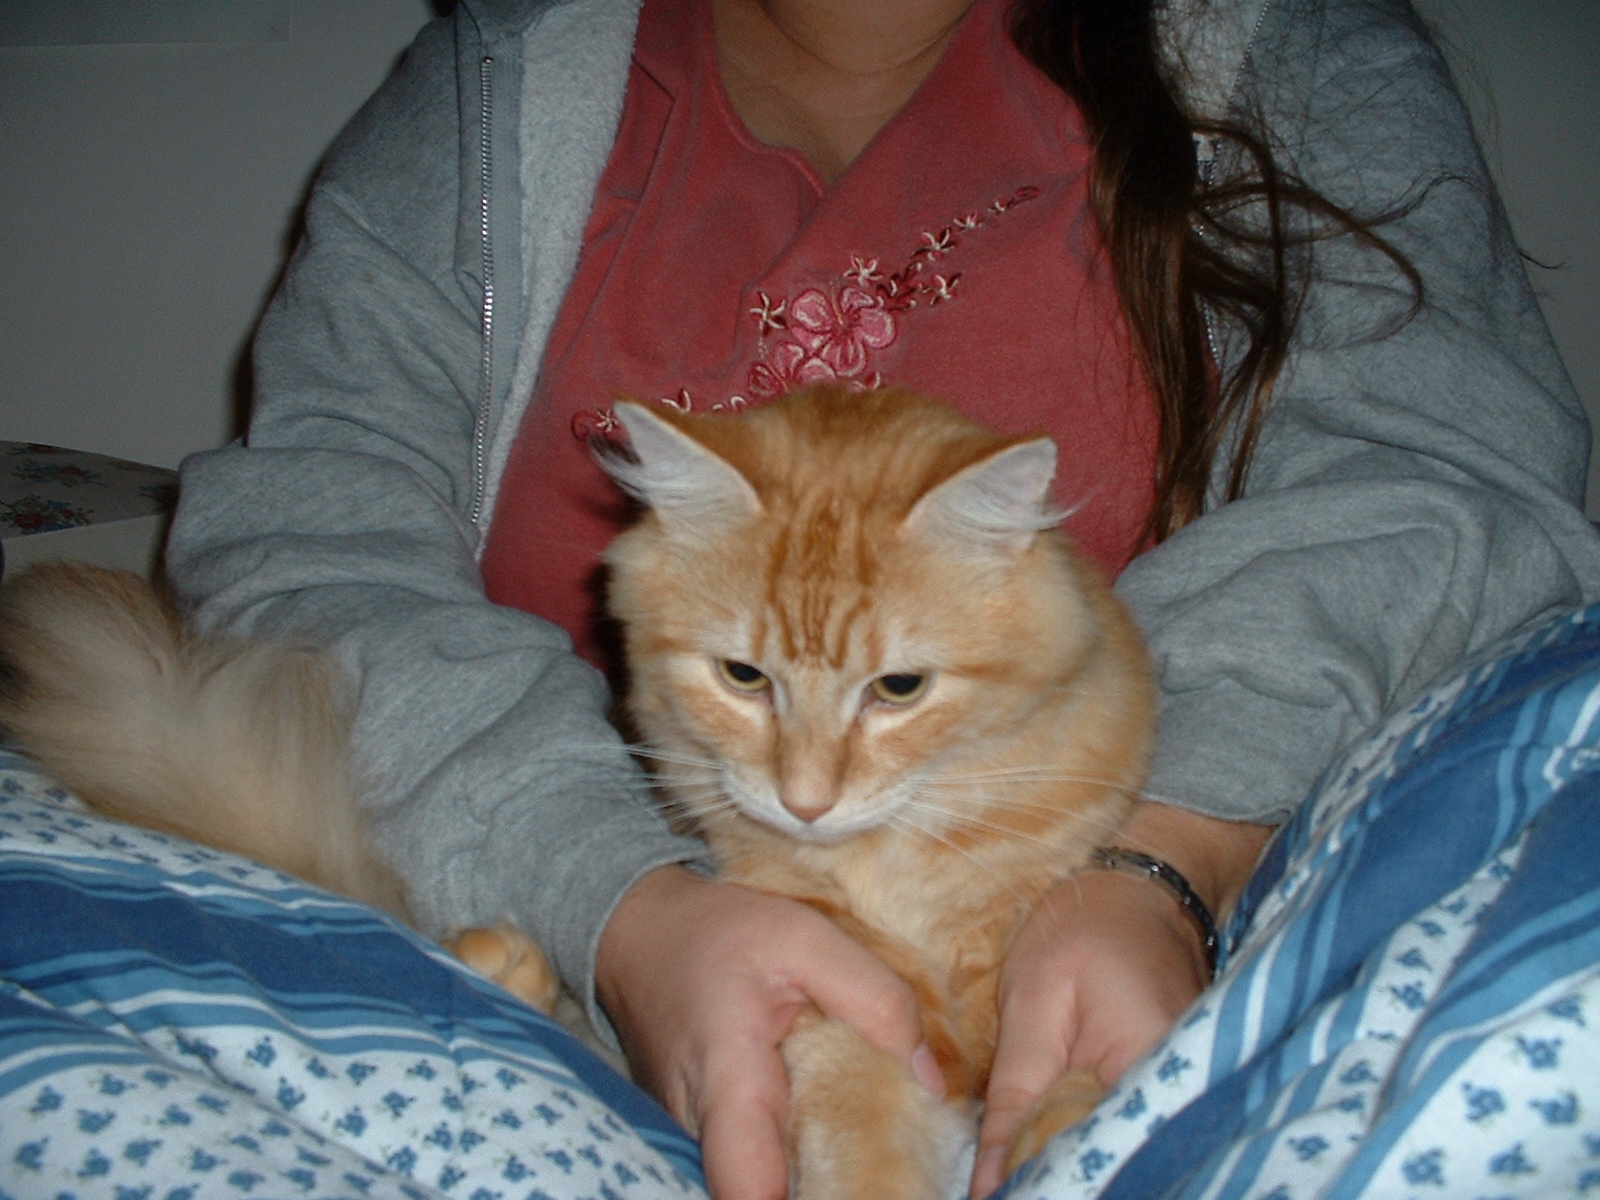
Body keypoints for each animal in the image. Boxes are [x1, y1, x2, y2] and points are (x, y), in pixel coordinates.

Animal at [0, 383, 1155, 1200]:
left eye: (900, 689)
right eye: (744, 678)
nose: (805, 802)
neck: (890, 871)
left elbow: (1078, 1076)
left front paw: (1071, 1129)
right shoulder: (839, 1024)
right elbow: (867, 1166)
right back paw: (503, 965)